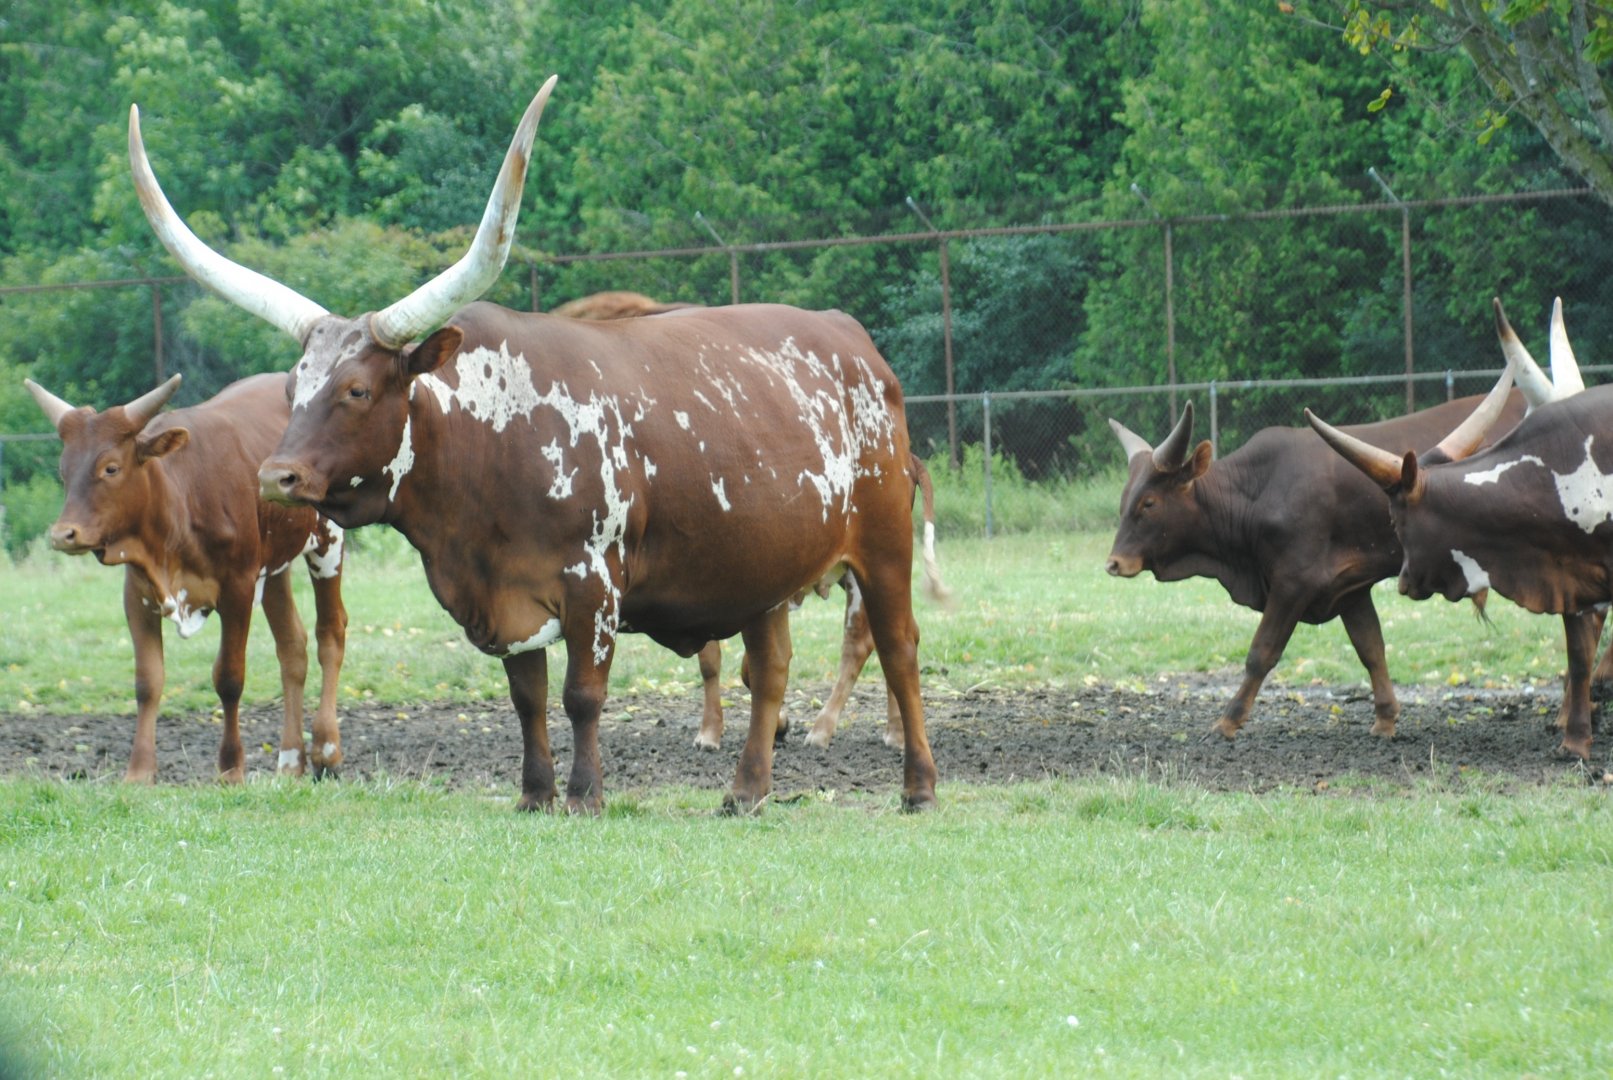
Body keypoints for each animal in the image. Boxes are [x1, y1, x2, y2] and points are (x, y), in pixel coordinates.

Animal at [24, 372, 348, 782]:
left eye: (110, 468)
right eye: (63, 470)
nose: (63, 535)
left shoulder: (238, 590)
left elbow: (229, 678)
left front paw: (230, 769)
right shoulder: (138, 595)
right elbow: (148, 681)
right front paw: (139, 773)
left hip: (328, 542)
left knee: (330, 634)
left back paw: (327, 749)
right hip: (275, 565)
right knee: (292, 646)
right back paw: (291, 760)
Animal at [128, 77, 938, 813]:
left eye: (356, 390)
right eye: (295, 386)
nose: (278, 477)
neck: (490, 444)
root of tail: (854, 339)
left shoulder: (593, 585)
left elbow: (582, 694)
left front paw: (584, 795)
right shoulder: (503, 599)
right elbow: (527, 698)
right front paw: (535, 793)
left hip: (882, 545)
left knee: (899, 648)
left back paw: (918, 787)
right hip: (762, 569)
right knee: (769, 670)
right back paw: (745, 793)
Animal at [1107, 376, 1524, 742]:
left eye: (1149, 503)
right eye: (1124, 498)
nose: (1114, 563)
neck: (1258, 493)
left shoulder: (1294, 583)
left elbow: (1261, 653)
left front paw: (1227, 722)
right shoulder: (1350, 589)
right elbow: (1371, 648)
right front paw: (1385, 719)